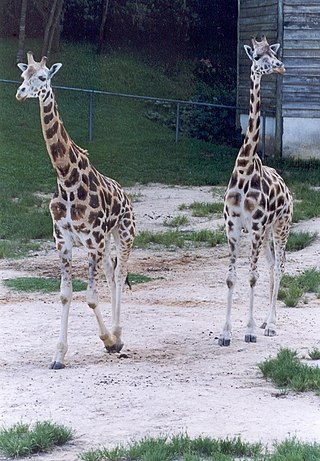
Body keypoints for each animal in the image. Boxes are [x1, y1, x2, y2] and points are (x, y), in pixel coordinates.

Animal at [15, 52, 136, 368]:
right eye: (22, 76)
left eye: (42, 77)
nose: (20, 93)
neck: (66, 178)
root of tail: (126, 195)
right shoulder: (63, 240)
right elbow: (65, 295)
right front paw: (58, 355)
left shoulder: (93, 240)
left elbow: (91, 297)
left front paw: (108, 341)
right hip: (106, 242)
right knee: (111, 272)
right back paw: (115, 335)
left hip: (124, 234)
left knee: (120, 273)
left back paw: (119, 335)